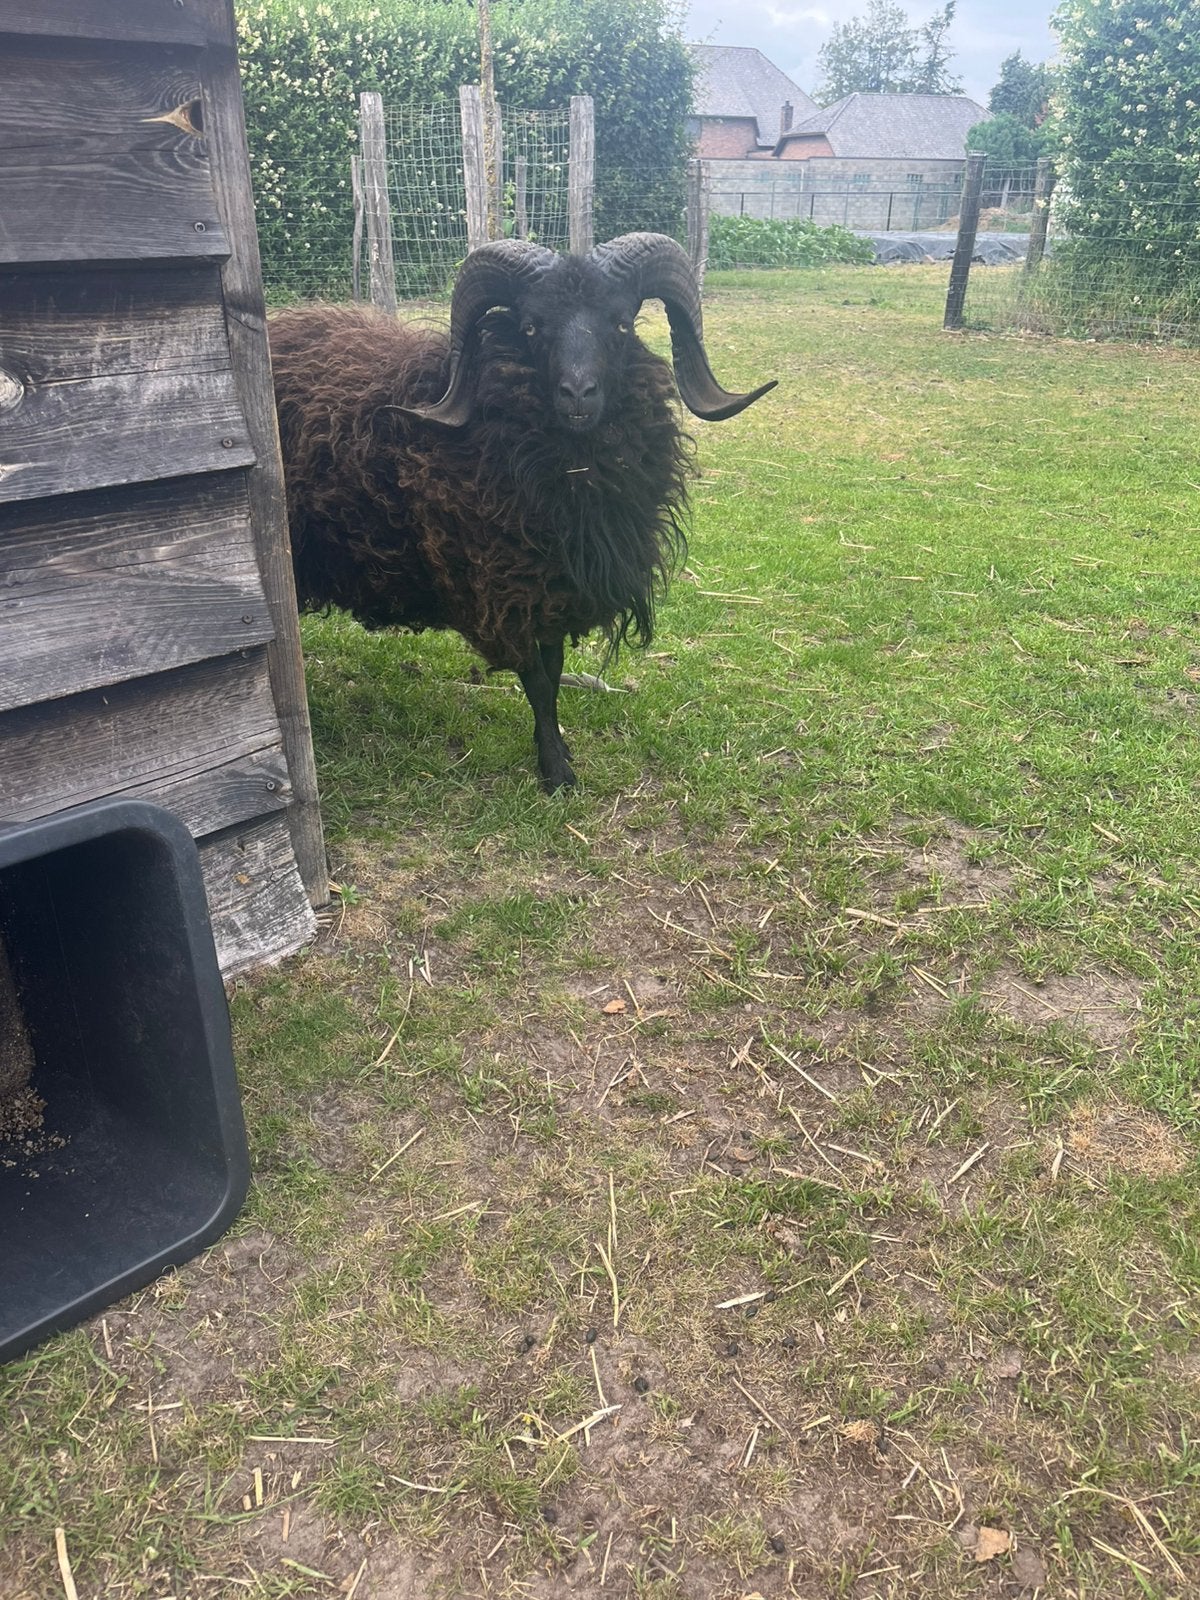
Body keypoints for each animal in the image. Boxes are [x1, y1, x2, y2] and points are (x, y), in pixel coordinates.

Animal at [269, 232, 775, 791]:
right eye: (532, 326)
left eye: (621, 322)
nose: (578, 394)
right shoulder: (507, 591)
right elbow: (535, 679)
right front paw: (556, 773)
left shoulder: (554, 589)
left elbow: (552, 675)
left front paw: (557, 751)